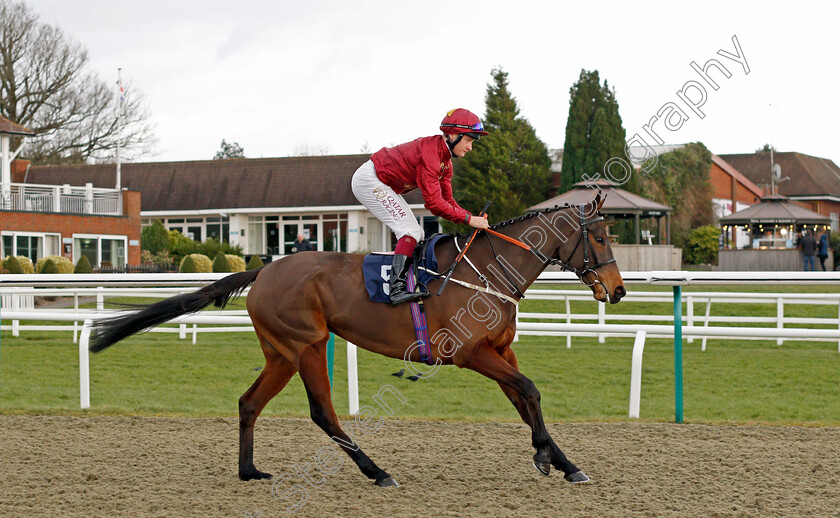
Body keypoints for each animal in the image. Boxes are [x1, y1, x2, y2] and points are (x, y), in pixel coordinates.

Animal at [90, 193, 624, 490]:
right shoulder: (470, 353)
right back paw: (377, 471)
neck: (487, 270)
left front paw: (564, 462)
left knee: (248, 402)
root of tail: (263, 269)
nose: (617, 290)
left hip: (280, 353)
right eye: (599, 238)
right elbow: (530, 390)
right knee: (322, 413)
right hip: (307, 345)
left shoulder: (500, 350)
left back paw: (249, 471)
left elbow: (525, 400)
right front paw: (545, 457)